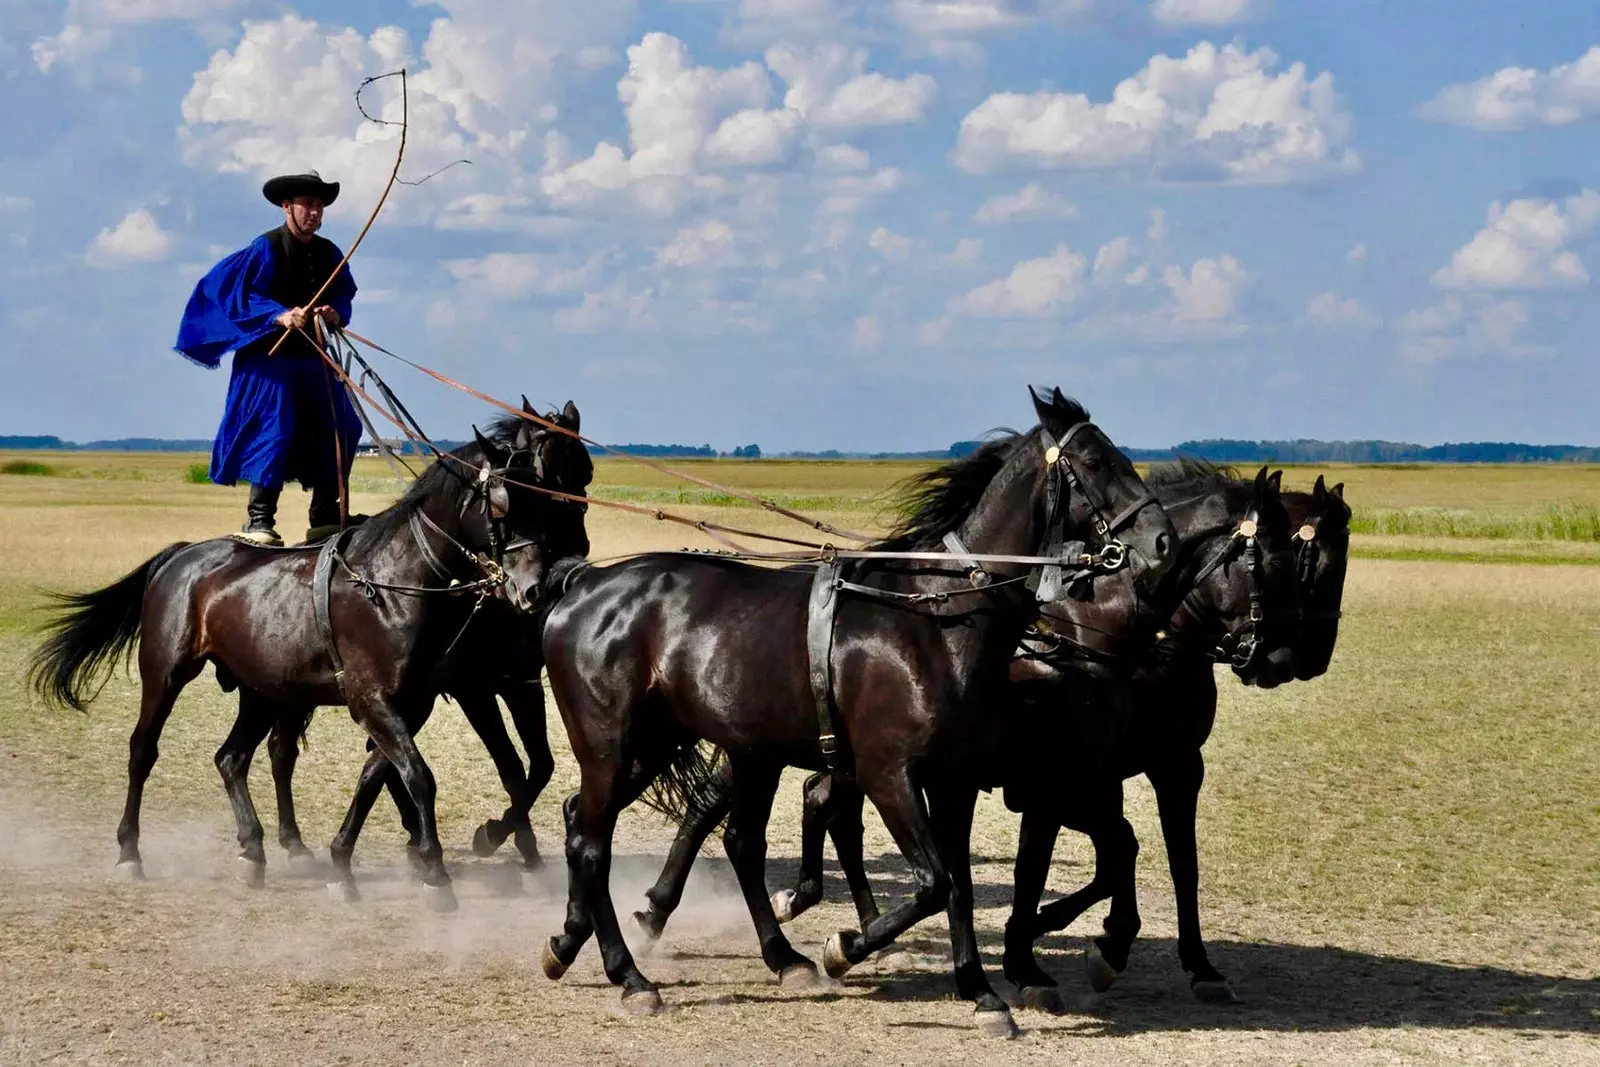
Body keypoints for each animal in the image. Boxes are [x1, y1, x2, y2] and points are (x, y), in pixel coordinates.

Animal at [29, 404, 595, 908]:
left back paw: (256, 850)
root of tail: (184, 555)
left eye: (560, 492)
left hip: (262, 691)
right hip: (167, 674)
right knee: (144, 751)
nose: (535, 587)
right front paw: (436, 870)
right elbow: (422, 776)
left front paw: (346, 862)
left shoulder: (423, 701)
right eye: (503, 506)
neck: (394, 583)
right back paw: (130, 851)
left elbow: (379, 777)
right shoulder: (399, 699)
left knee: (233, 758)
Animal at [537, 390, 1177, 1036]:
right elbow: (932, 882)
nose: (1163, 542)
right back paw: (630, 976)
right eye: (1095, 461)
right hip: (613, 747)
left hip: (673, 746)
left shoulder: (955, 780)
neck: (934, 620)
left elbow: (960, 885)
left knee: (650, 831)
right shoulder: (887, 774)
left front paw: (981, 992)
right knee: (594, 844)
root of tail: (583, 584)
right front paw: (845, 948)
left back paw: (588, 943)